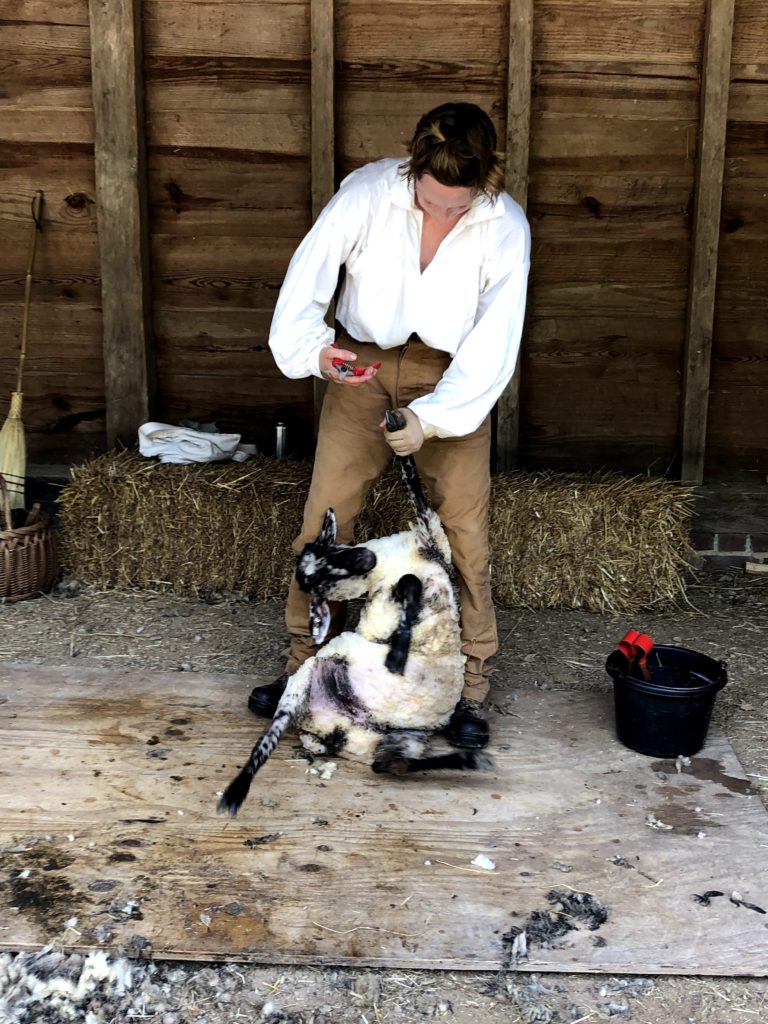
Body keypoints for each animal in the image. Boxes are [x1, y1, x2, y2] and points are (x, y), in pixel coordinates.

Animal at [218, 415, 493, 815]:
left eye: (329, 548)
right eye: (315, 580)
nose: (364, 557)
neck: (388, 564)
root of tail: (334, 729)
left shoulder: (433, 544)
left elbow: (412, 484)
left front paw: (399, 422)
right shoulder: (418, 554)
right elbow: (410, 580)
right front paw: (396, 657)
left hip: (399, 736)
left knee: (391, 764)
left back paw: (469, 760)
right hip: (308, 678)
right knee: (268, 738)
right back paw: (236, 790)